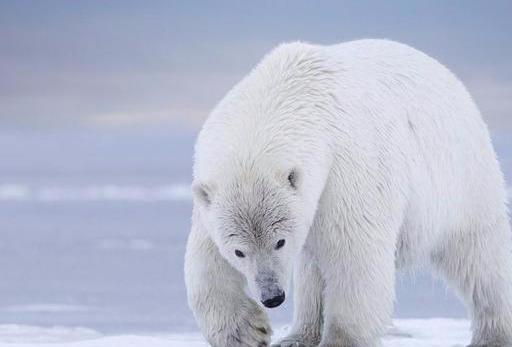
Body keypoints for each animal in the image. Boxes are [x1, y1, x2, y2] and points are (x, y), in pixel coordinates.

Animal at [184, 39, 512, 346]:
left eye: (280, 242)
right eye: (238, 251)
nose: (272, 296)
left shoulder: (346, 167)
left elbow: (354, 252)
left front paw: (340, 339)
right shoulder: (211, 195)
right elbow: (205, 258)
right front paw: (248, 332)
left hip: (462, 181)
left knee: (481, 257)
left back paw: (494, 334)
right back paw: (297, 336)